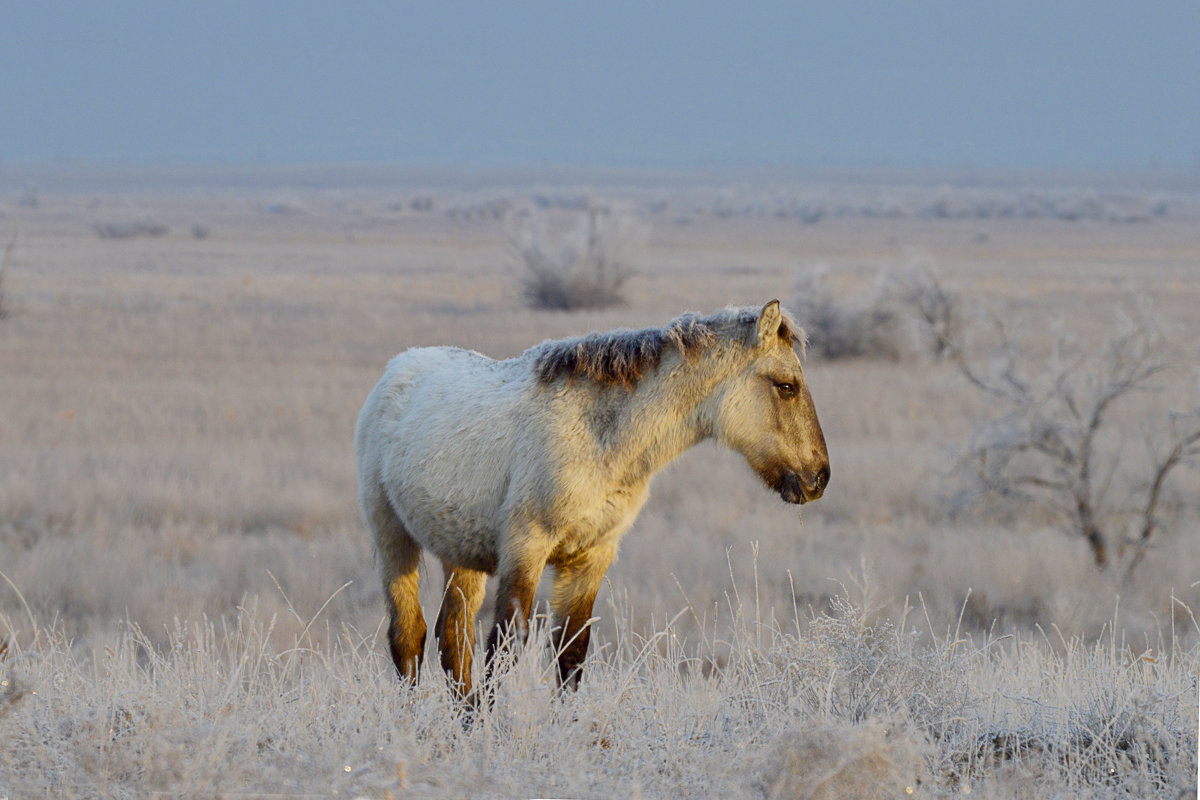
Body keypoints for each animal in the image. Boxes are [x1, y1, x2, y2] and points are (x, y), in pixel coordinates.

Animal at [350, 302, 830, 700]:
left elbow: (570, 657)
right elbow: (504, 652)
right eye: (786, 386)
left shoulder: (591, 558)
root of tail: (397, 368)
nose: (819, 478)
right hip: (392, 539)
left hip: (462, 555)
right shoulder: (525, 549)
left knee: (453, 639)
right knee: (408, 637)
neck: (602, 437)